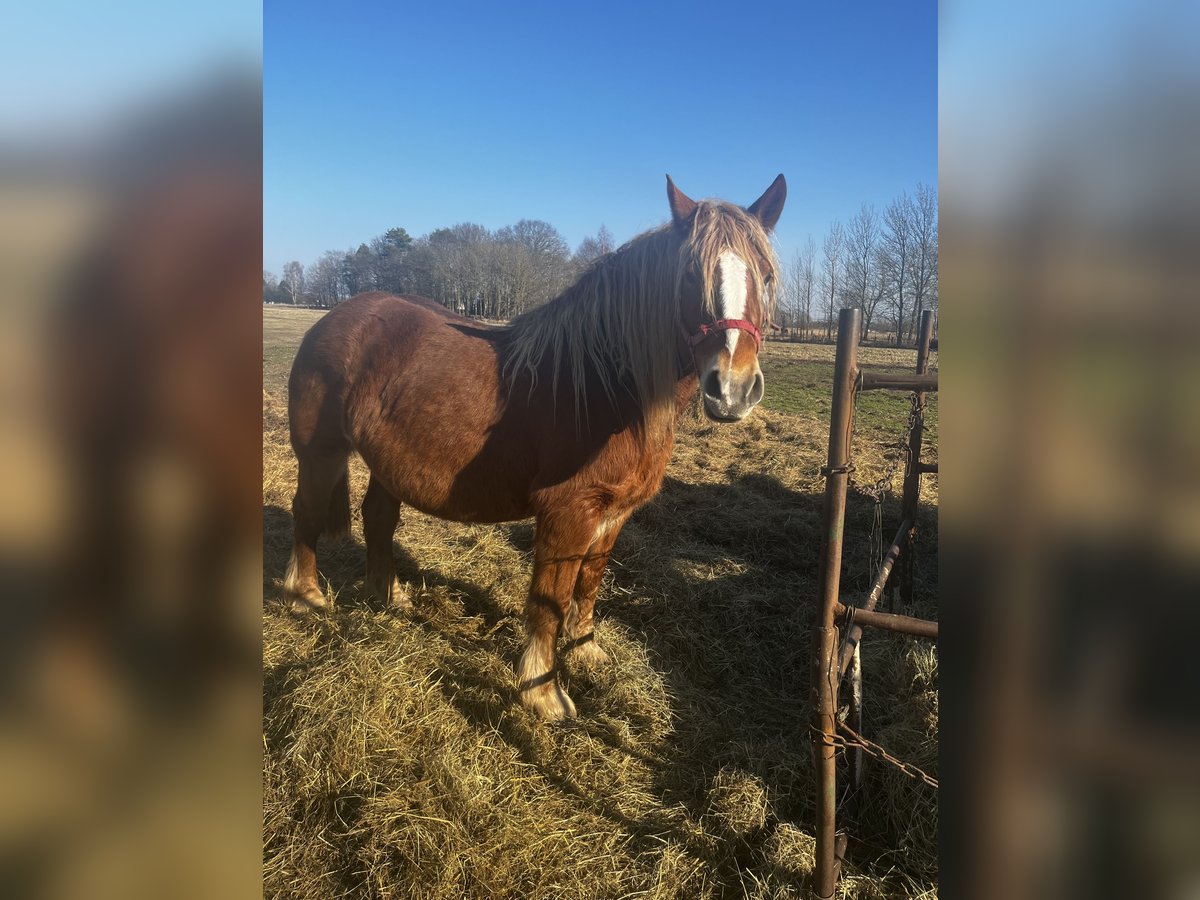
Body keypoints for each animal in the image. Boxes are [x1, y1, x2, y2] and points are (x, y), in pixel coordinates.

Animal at [282, 176, 787, 724]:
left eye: (764, 276)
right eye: (691, 276)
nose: (733, 390)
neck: (606, 383)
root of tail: (335, 318)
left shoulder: (613, 513)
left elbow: (589, 582)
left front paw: (586, 651)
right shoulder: (568, 511)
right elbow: (551, 596)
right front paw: (542, 692)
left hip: (388, 461)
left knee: (378, 517)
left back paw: (389, 597)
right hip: (320, 454)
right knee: (307, 512)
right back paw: (307, 597)